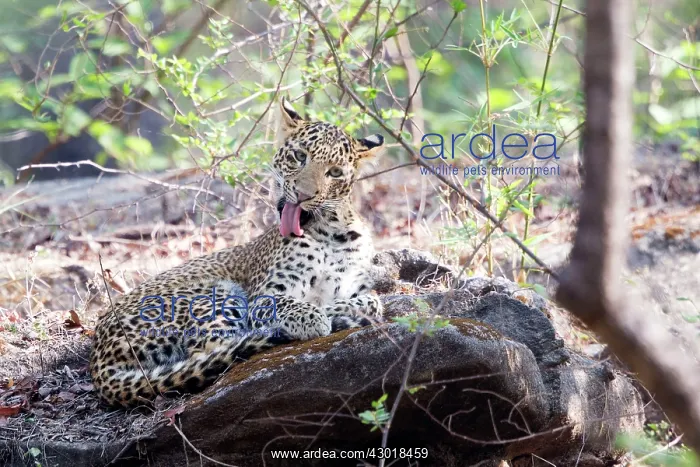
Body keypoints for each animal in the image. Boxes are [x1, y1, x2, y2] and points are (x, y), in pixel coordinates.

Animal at [89, 98, 386, 407]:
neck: (330, 231)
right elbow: (289, 304)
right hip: (211, 294)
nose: (304, 194)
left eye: (335, 172)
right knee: (214, 348)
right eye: (299, 156)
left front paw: (336, 310)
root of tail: (98, 367)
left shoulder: (356, 285)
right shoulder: (264, 295)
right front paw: (316, 317)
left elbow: (372, 301)